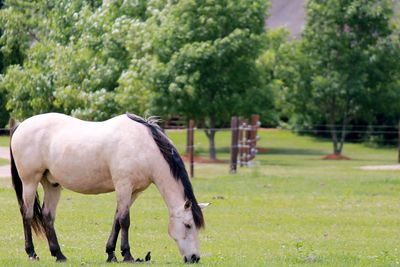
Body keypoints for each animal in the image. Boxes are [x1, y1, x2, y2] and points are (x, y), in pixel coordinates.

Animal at [9, 112, 209, 264]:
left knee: (47, 216)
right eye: (188, 225)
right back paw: (32, 253)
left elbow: (117, 219)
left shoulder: (133, 191)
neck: (144, 146)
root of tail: (21, 125)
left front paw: (111, 253)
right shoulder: (123, 186)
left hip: (52, 184)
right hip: (30, 182)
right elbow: (125, 220)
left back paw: (59, 254)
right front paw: (127, 255)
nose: (194, 258)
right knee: (27, 214)